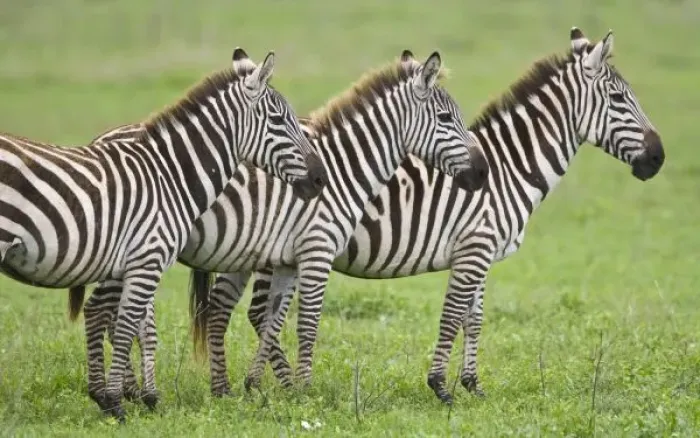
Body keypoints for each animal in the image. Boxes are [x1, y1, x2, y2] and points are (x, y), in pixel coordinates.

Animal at [1, 47, 328, 421]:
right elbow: (127, 326)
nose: (320, 179)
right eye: (278, 120)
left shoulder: (129, 263)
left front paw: (115, 397)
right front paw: (116, 402)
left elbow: (124, 323)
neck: (169, 176)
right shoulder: (147, 259)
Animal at [67, 49, 491, 400]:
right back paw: (121, 392)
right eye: (446, 118)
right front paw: (305, 390)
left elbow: (273, 320)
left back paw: (136, 390)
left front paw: (265, 386)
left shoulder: (288, 257)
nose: (484, 172)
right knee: (109, 313)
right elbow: (307, 324)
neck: (343, 169)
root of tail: (103, 137)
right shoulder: (317, 250)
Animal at [180, 27, 666, 404]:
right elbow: (453, 315)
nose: (658, 159)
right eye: (620, 98)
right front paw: (441, 387)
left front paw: (473, 385)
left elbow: (474, 317)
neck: (508, 168)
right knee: (252, 312)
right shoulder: (474, 249)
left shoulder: (481, 253)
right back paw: (267, 386)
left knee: (225, 309)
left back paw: (238, 388)